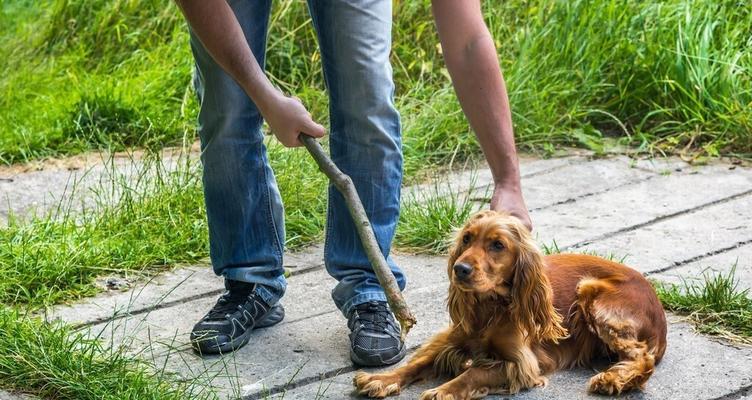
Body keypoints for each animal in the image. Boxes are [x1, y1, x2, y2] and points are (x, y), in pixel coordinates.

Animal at [356, 211, 668, 398]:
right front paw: (383, 378)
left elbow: (474, 371)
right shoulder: (452, 338)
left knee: (642, 358)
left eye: (498, 245)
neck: (490, 307)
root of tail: (660, 312)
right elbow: (419, 361)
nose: (460, 269)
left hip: (592, 292)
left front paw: (443, 390)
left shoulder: (522, 363)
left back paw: (614, 380)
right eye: (467, 239)